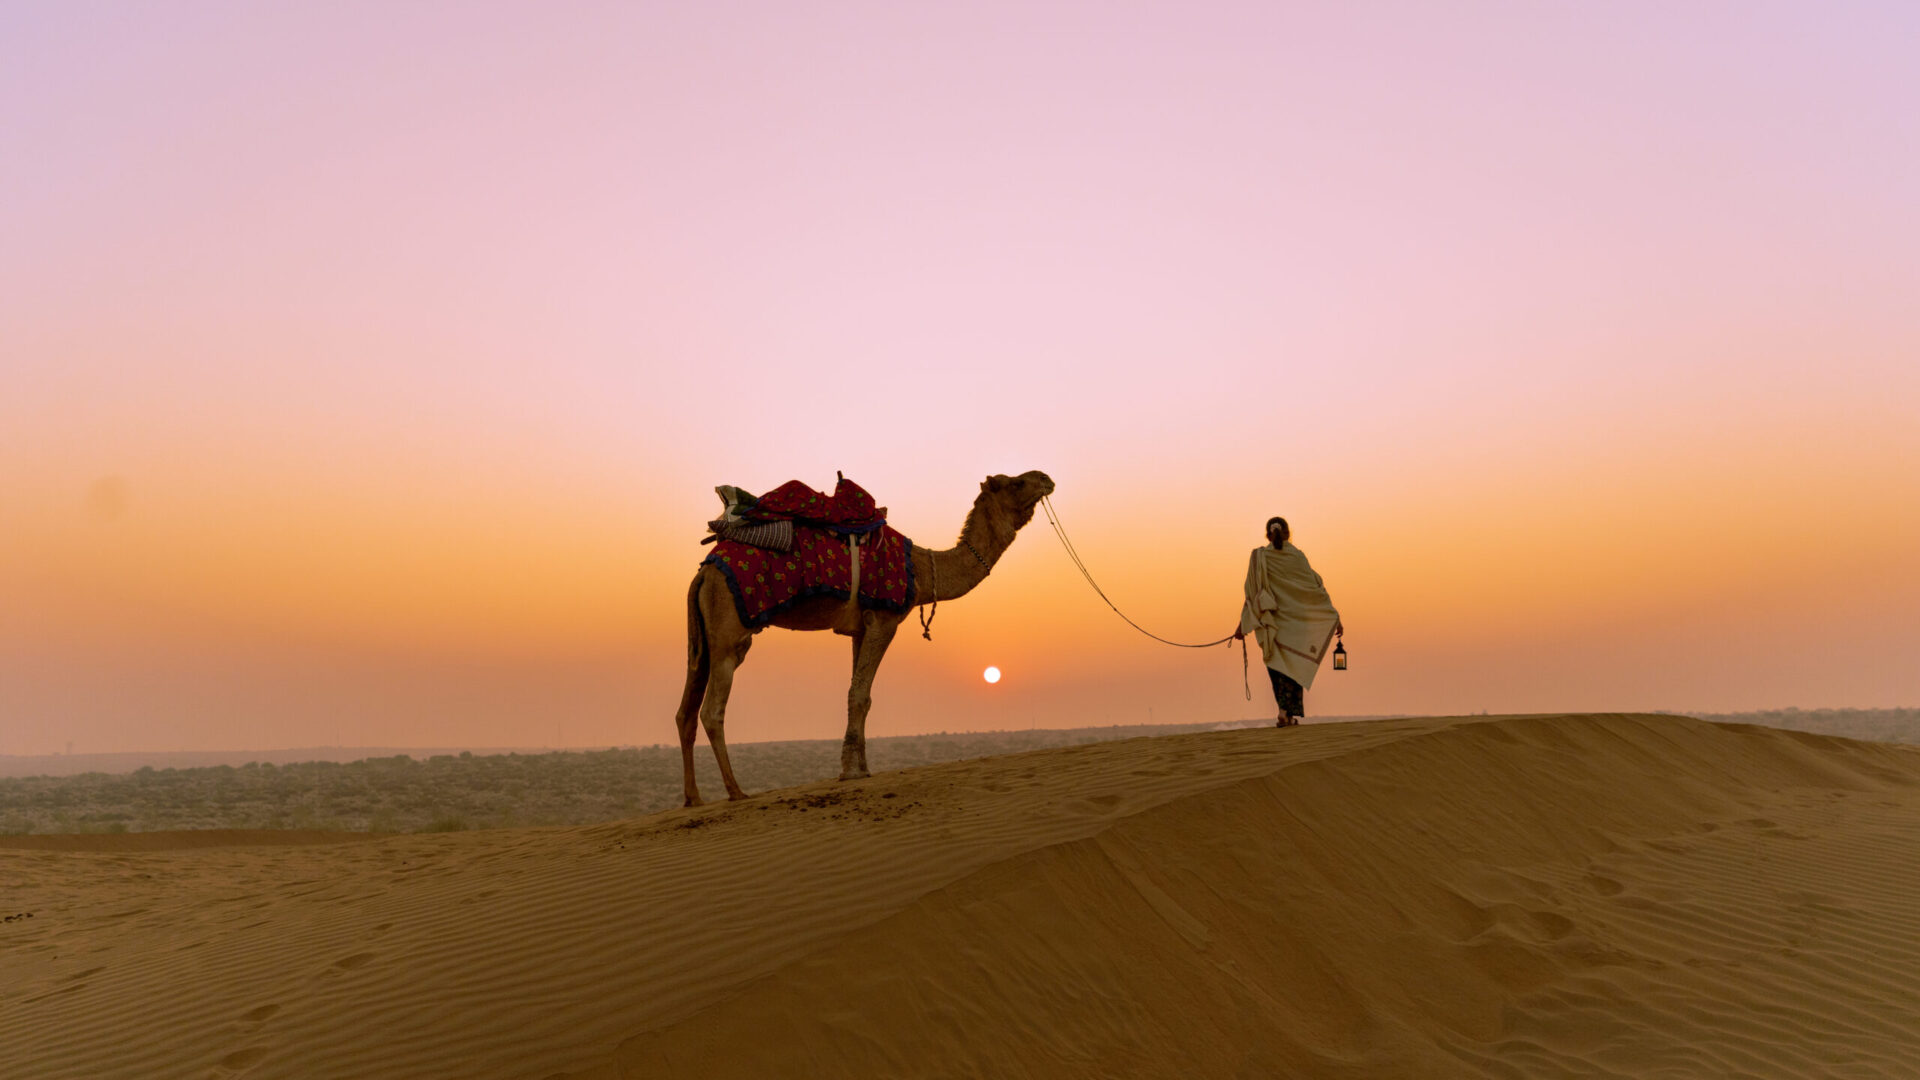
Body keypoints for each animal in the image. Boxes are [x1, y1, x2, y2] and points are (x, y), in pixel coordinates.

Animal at [674, 470, 1055, 806]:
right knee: (712, 710)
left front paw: (863, 768)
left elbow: (861, 695)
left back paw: (693, 798)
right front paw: (850, 772)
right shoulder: (884, 619)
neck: (920, 569)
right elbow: (859, 695)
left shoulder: (861, 627)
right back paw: (736, 791)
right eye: (1016, 483)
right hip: (729, 634)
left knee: (685, 711)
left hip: (703, 640)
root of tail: (703, 573)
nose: (1046, 478)